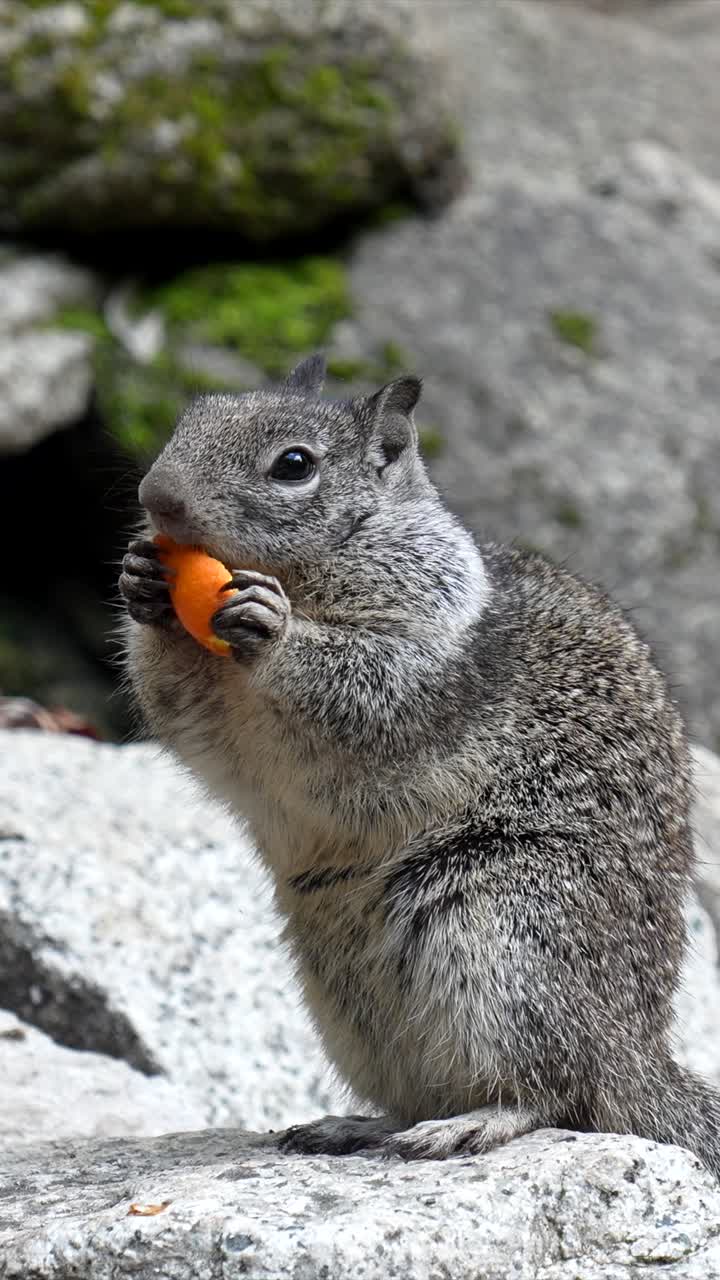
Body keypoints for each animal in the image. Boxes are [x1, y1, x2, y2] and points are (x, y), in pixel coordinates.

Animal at [120, 354, 720, 1172]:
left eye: (294, 465)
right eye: (191, 418)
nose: (156, 497)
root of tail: (640, 1056)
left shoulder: (425, 659)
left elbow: (365, 687)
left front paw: (272, 627)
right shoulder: (209, 711)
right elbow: (179, 707)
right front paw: (143, 583)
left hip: (504, 932)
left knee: (559, 1090)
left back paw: (473, 1124)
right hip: (351, 1000)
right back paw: (356, 1126)